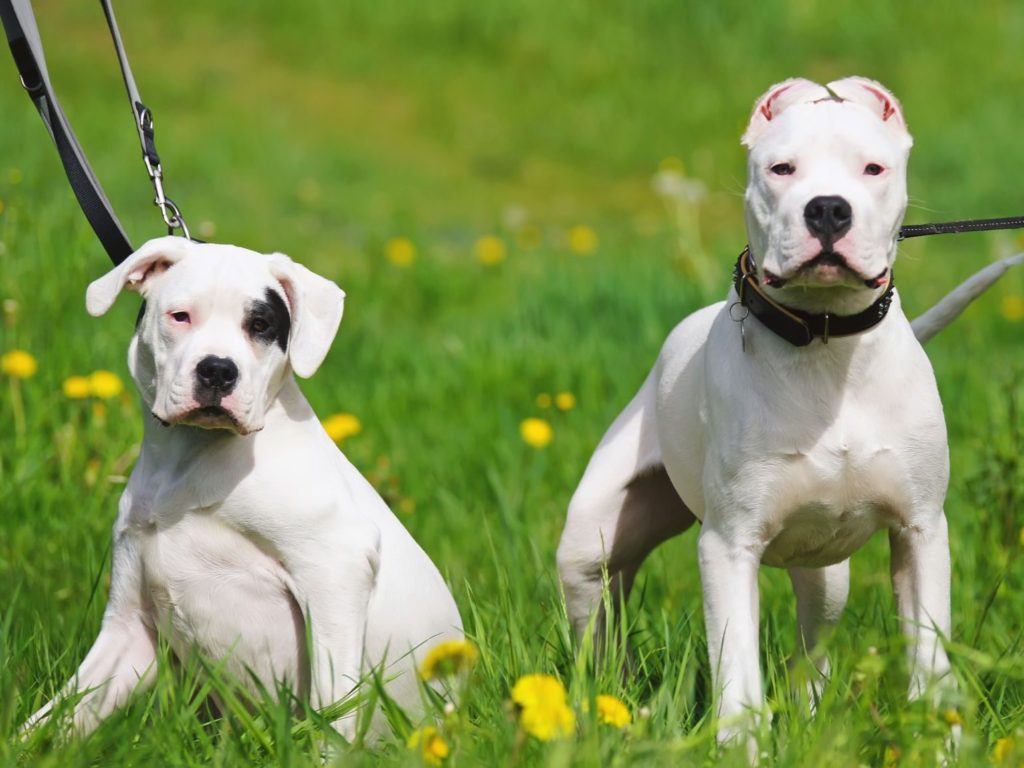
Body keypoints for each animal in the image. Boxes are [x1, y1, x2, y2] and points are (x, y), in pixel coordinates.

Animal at [24, 237, 464, 741]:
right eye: (180, 316)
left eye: (260, 325)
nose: (217, 370)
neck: (193, 458)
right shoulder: (128, 627)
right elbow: (50, 721)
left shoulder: (337, 566)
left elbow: (334, 710)